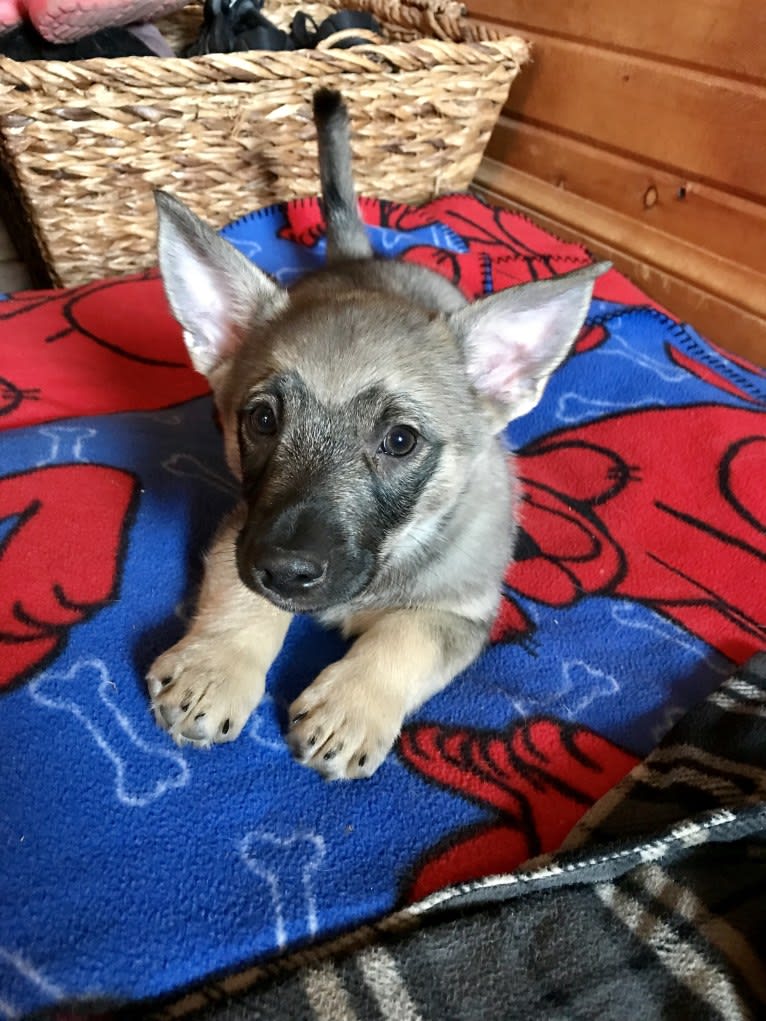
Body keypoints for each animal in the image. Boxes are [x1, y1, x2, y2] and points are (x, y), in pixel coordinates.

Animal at [147, 91, 608, 780]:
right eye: (262, 420)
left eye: (399, 441)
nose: (286, 570)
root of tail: (357, 259)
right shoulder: (241, 536)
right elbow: (240, 598)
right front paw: (216, 668)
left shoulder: (460, 612)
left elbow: (405, 636)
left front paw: (352, 707)